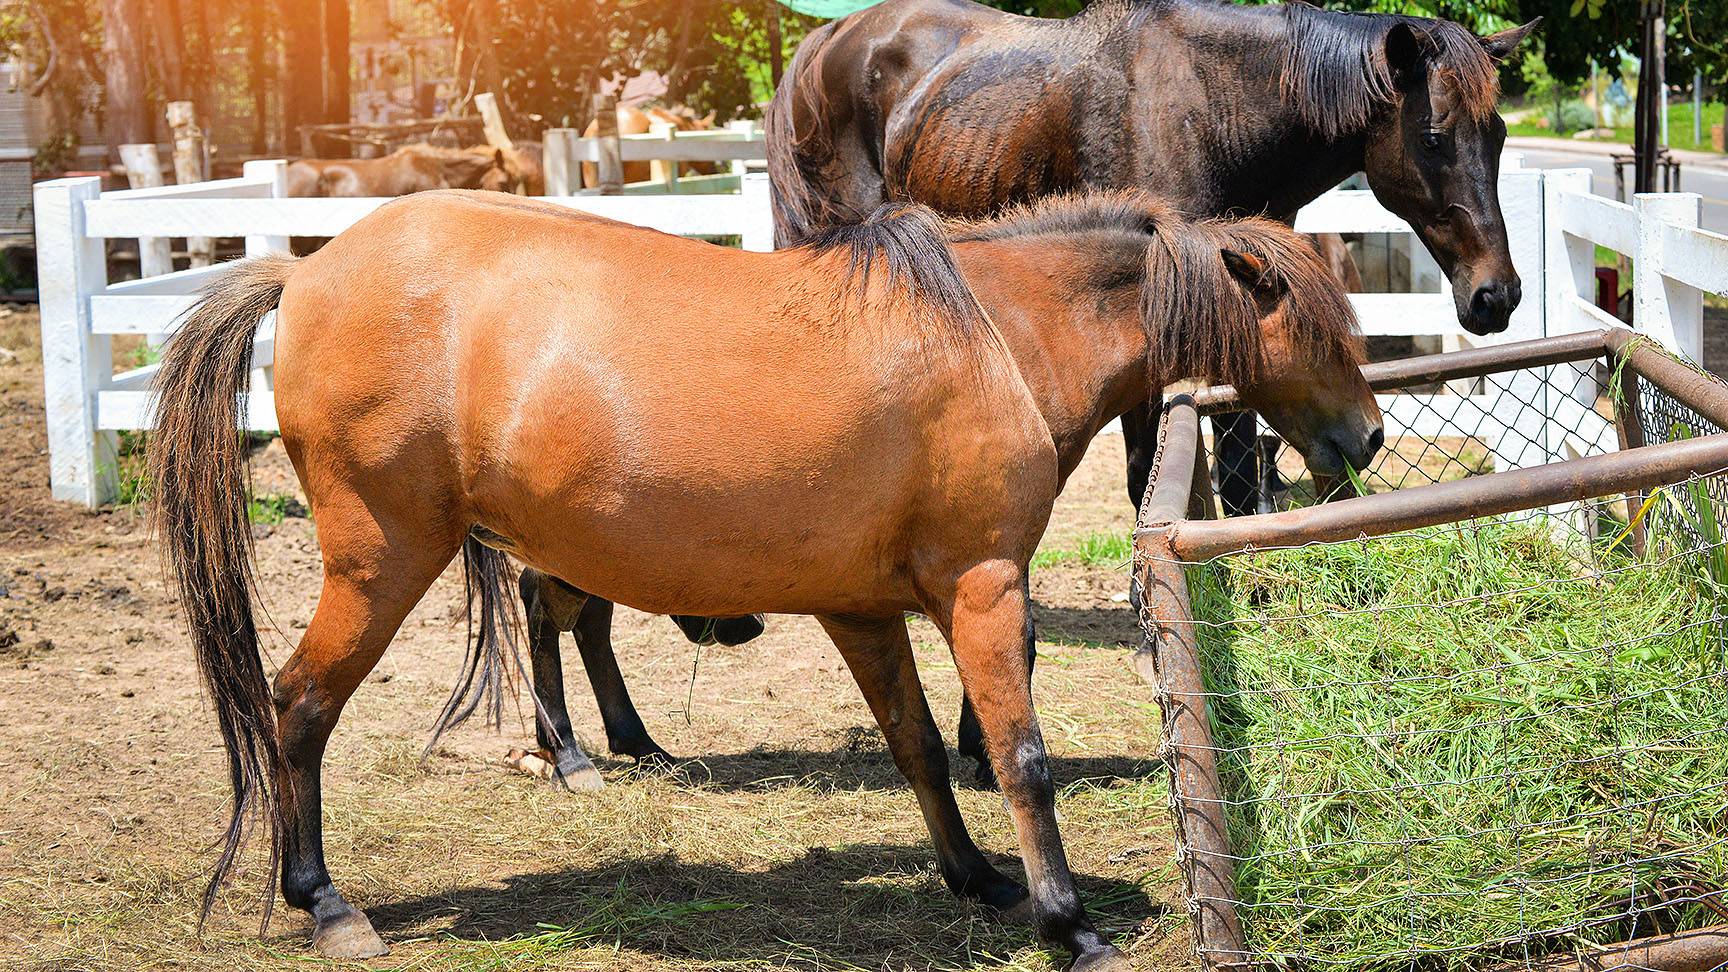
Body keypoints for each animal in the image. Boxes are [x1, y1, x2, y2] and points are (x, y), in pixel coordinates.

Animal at [149, 187, 1379, 967]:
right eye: (1322, 328)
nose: (1366, 439)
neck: (993, 334)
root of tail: (305, 268)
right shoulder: (983, 587)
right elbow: (1022, 764)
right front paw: (1067, 924)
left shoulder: (861, 609)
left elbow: (919, 747)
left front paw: (976, 879)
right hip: (382, 562)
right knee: (298, 705)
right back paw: (326, 904)